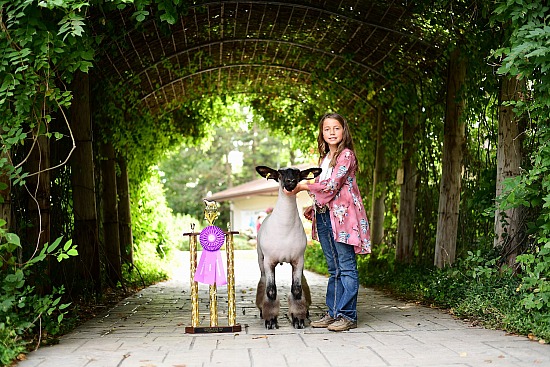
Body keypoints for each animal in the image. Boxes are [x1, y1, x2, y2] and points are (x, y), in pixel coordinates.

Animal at [254, 165, 324, 330]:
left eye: (298, 173)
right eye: (280, 174)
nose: (290, 181)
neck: (285, 228)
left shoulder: (298, 260)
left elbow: (297, 290)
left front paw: (298, 318)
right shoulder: (269, 261)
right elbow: (271, 291)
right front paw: (271, 320)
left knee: (303, 282)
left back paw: (306, 311)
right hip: (261, 259)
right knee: (263, 281)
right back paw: (261, 311)